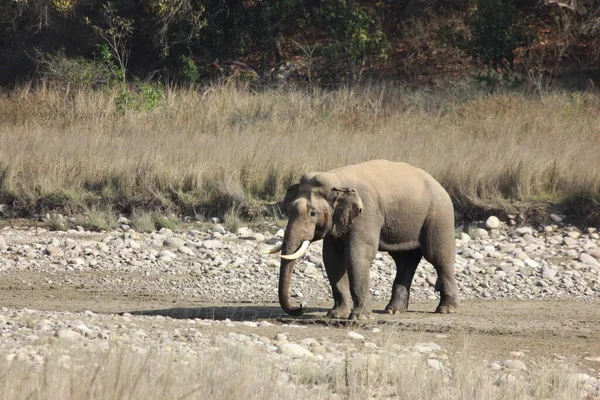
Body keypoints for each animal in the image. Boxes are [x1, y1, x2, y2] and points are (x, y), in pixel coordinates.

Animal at [264, 159, 460, 318]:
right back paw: (393, 311)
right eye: (289, 210)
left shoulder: (367, 213)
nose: (301, 306)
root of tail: (438, 183)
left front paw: (359, 318)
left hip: (439, 215)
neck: (338, 178)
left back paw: (446, 310)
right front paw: (335, 315)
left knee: (439, 257)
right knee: (405, 260)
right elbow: (332, 258)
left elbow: (357, 254)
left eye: (313, 213)